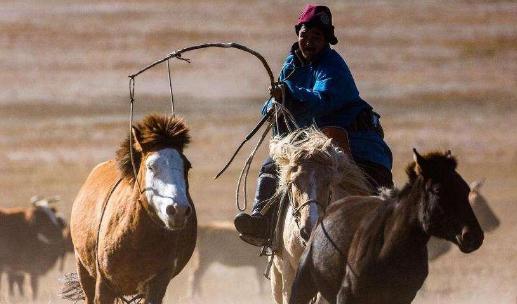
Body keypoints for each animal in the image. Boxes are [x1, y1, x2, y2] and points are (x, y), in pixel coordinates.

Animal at [69, 114, 197, 304]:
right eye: (151, 166)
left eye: (186, 166)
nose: (178, 210)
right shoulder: (103, 286)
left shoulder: (156, 286)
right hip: (83, 270)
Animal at [290, 150, 484, 304]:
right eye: (437, 190)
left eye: (466, 189)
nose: (474, 236)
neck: (389, 248)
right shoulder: (346, 296)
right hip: (302, 283)